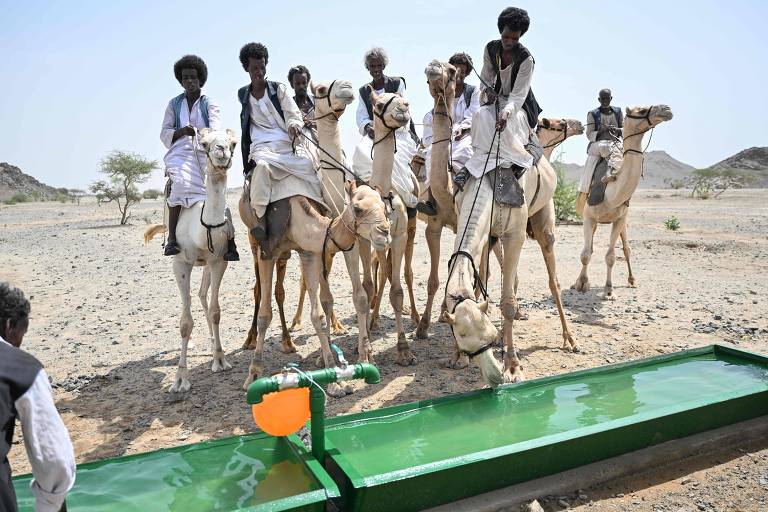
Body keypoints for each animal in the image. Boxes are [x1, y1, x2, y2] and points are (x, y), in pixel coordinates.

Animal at [143, 128, 237, 392]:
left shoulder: (218, 262)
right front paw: (180, 380)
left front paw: (220, 359)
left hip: (206, 265)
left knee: (204, 295)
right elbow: (185, 323)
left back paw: (213, 343)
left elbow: (216, 311)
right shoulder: (181, 265)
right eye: (204, 143)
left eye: (233, 143)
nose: (221, 151)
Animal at [244, 180, 392, 396]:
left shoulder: (311, 252)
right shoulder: (268, 254)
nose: (385, 232)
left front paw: (344, 371)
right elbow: (265, 315)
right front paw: (253, 375)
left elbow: (320, 314)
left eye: (384, 207)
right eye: (357, 208)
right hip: (257, 246)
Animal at [568, 104, 672, 300]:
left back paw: (632, 280)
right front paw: (581, 284)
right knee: (590, 248)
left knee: (626, 248)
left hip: (623, 220)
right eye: (641, 110)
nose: (666, 109)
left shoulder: (619, 219)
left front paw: (609, 290)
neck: (610, 193)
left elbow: (611, 256)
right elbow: (586, 253)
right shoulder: (588, 217)